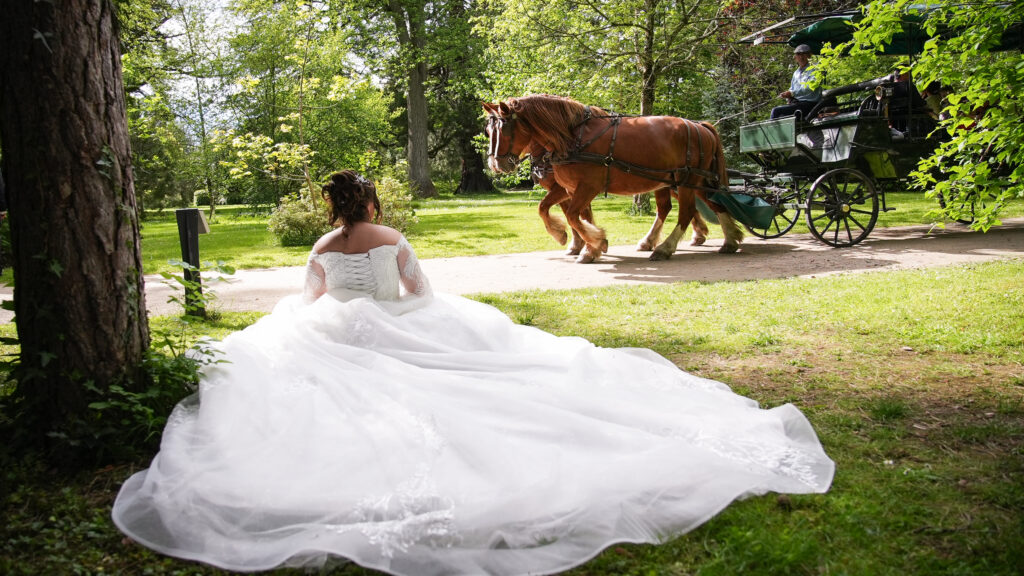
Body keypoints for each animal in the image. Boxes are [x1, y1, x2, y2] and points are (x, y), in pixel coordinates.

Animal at [483, 95, 741, 262]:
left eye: (505, 129)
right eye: (488, 131)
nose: (496, 164)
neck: (571, 137)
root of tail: (700, 126)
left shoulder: (586, 187)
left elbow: (573, 215)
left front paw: (593, 244)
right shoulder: (569, 188)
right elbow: (554, 211)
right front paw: (582, 243)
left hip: (687, 179)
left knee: (686, 211)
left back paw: (666, 247)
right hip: (684, 181)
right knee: (700, 205)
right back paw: (729, 239)